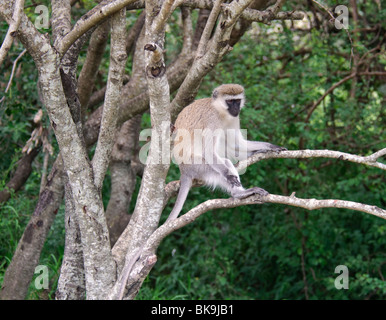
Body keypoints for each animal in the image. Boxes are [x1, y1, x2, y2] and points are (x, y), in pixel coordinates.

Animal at [167, 84, 286, 221]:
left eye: (237, 101)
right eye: (229, 101)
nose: (236, 108)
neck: (220, 111)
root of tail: (183, 170)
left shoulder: (234, 118)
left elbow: (237, 142)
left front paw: (270, 146)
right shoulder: (212, 119)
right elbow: (208, 151)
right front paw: (229, 176)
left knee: (227, 159)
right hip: (196, 166)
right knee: (220, 166)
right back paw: (239, 193)